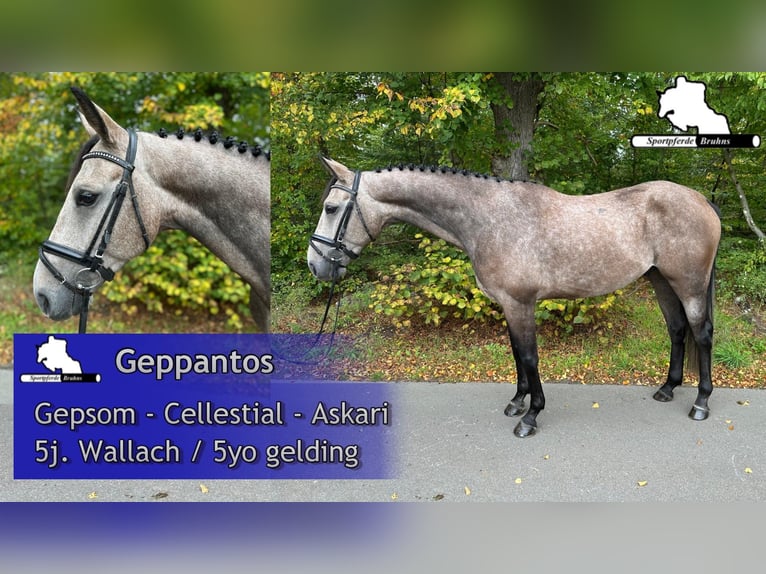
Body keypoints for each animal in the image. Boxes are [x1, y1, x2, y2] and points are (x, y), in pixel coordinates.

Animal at [308, 157, 721, 438]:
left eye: (331, 208)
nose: (315, 264)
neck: (488, 219)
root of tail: (703, 201)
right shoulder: (507, 304)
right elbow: (516, 354)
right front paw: (516, 402)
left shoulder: (521, 303)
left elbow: (529, 356)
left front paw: (531, 416)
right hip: (661, 280)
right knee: (677, 330)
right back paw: (667, 389)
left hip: (689, 284)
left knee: (701, 334)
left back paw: (701, 403)